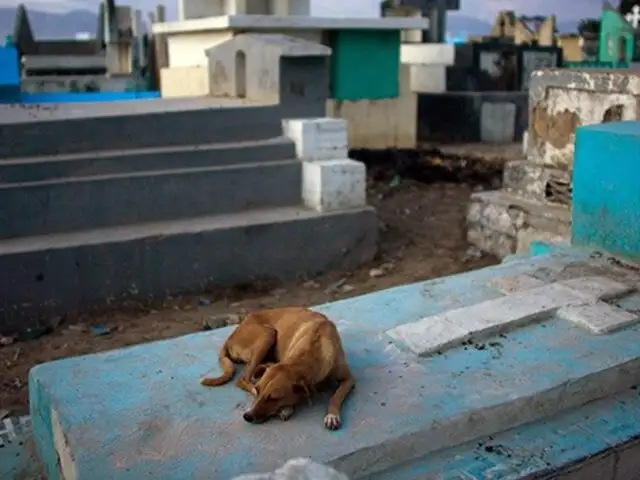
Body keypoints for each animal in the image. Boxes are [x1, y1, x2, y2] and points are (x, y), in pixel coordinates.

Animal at [201, 308, 356, 432]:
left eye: (273, 398)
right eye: (258, 390)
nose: (246, 416)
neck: (315, 348)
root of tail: (229, 338)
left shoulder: (349, 379)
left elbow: (336, 396)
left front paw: (331, 416)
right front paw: (286, 409)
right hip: (267, 334)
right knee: (243, 378)